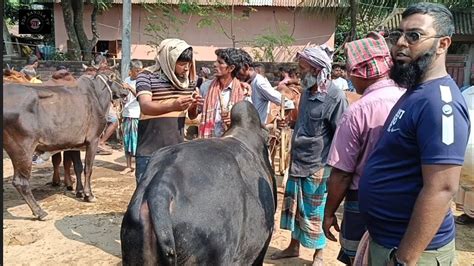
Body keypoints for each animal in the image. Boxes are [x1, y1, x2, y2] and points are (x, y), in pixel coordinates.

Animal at [2, 69, 129, 220]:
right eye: (117, 78)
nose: (126, 91)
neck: (97, 94)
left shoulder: (74, 143)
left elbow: (78, 167)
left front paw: (79, 191)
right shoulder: (93, 140)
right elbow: (88, 168)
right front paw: (89, 195)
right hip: (22, 149)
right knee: (20, 181)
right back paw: (40, 212)